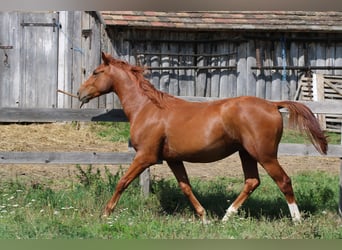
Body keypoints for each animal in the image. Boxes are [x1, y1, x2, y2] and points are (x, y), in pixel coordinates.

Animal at [77, 52, 326, 223]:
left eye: (96, 72)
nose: (80, 93)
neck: (147, 108)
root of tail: (273, 104)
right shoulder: (173, 159)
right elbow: (185, 187)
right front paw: (204, 217)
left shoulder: (145, 156)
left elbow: (122, 182)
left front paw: (105, 214)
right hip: (246, 153)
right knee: (252, 181)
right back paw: (225, 218)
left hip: (264, 154)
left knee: (283, 180)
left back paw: (297, 220)